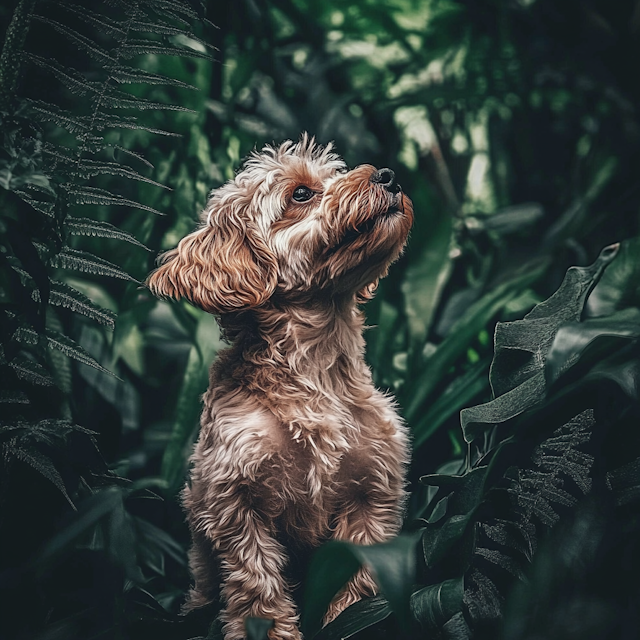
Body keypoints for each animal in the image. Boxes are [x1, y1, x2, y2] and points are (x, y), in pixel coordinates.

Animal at [148, 136, 412, 640]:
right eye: (301, 194)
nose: (388, 175)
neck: (314, 371)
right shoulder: (236, 501)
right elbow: (258, 588)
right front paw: (270, 630)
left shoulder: (371, 493)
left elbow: (354, 584)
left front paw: (349, 617)